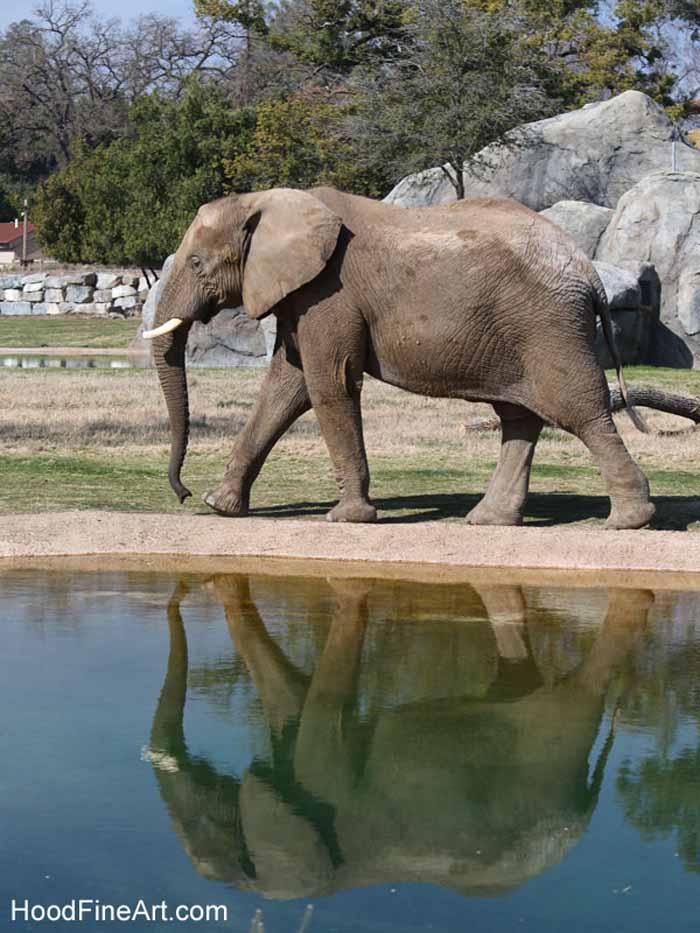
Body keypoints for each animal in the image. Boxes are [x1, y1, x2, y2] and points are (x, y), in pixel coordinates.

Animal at [144, 186, 657, 529]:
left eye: (196, 264)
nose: (182, 493)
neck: (265, 200)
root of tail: (590, 273)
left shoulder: (329, 293)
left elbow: (328, 384)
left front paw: (347, 519)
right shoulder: (303, 297)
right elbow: (285, 389)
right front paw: (219, 505)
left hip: (548, 325)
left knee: (579, 410)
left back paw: (628, 520)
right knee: (520, 418)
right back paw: (488, 520)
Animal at [144, 573, 653, 899]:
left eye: (210, 835)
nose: (186, 586)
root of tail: (584, 811)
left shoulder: (328, 780)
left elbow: (321, 713)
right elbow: (289, 701)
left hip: (550, 750)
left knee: (578, 691)